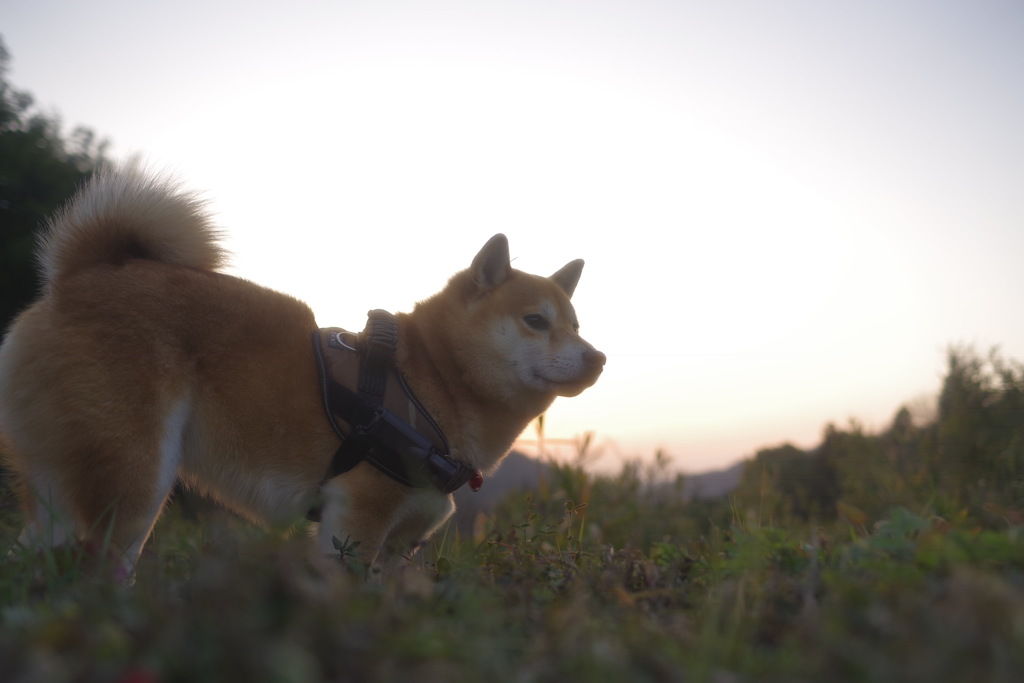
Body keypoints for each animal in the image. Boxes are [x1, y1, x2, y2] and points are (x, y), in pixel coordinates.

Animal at [0, 167, 602, 573]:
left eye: (576, 325)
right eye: (535, 320)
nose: (598, 357)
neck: (433, 380)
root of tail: (76, 279)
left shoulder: (401, 543)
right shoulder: (357, 519)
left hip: (73, 486)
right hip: (133, 481)